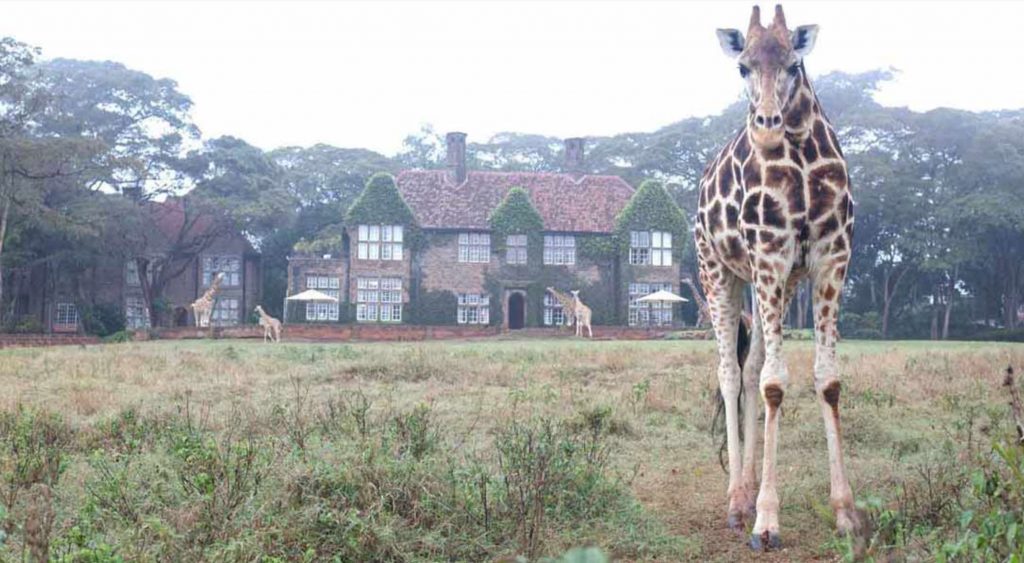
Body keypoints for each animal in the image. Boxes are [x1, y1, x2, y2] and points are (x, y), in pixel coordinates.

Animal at [696, 4, 856, 552]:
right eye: (742, 66)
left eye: (793, 64)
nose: (766, 126)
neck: (801, 156)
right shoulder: (769, 254)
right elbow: (773, 384)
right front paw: (767, 520)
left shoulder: (831, 258)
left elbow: (826, 380)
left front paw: (845, 511)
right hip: (719, 272)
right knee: (728, 373)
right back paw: (735, 502)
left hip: (778, 287)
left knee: (747, 370)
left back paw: (744, 493)